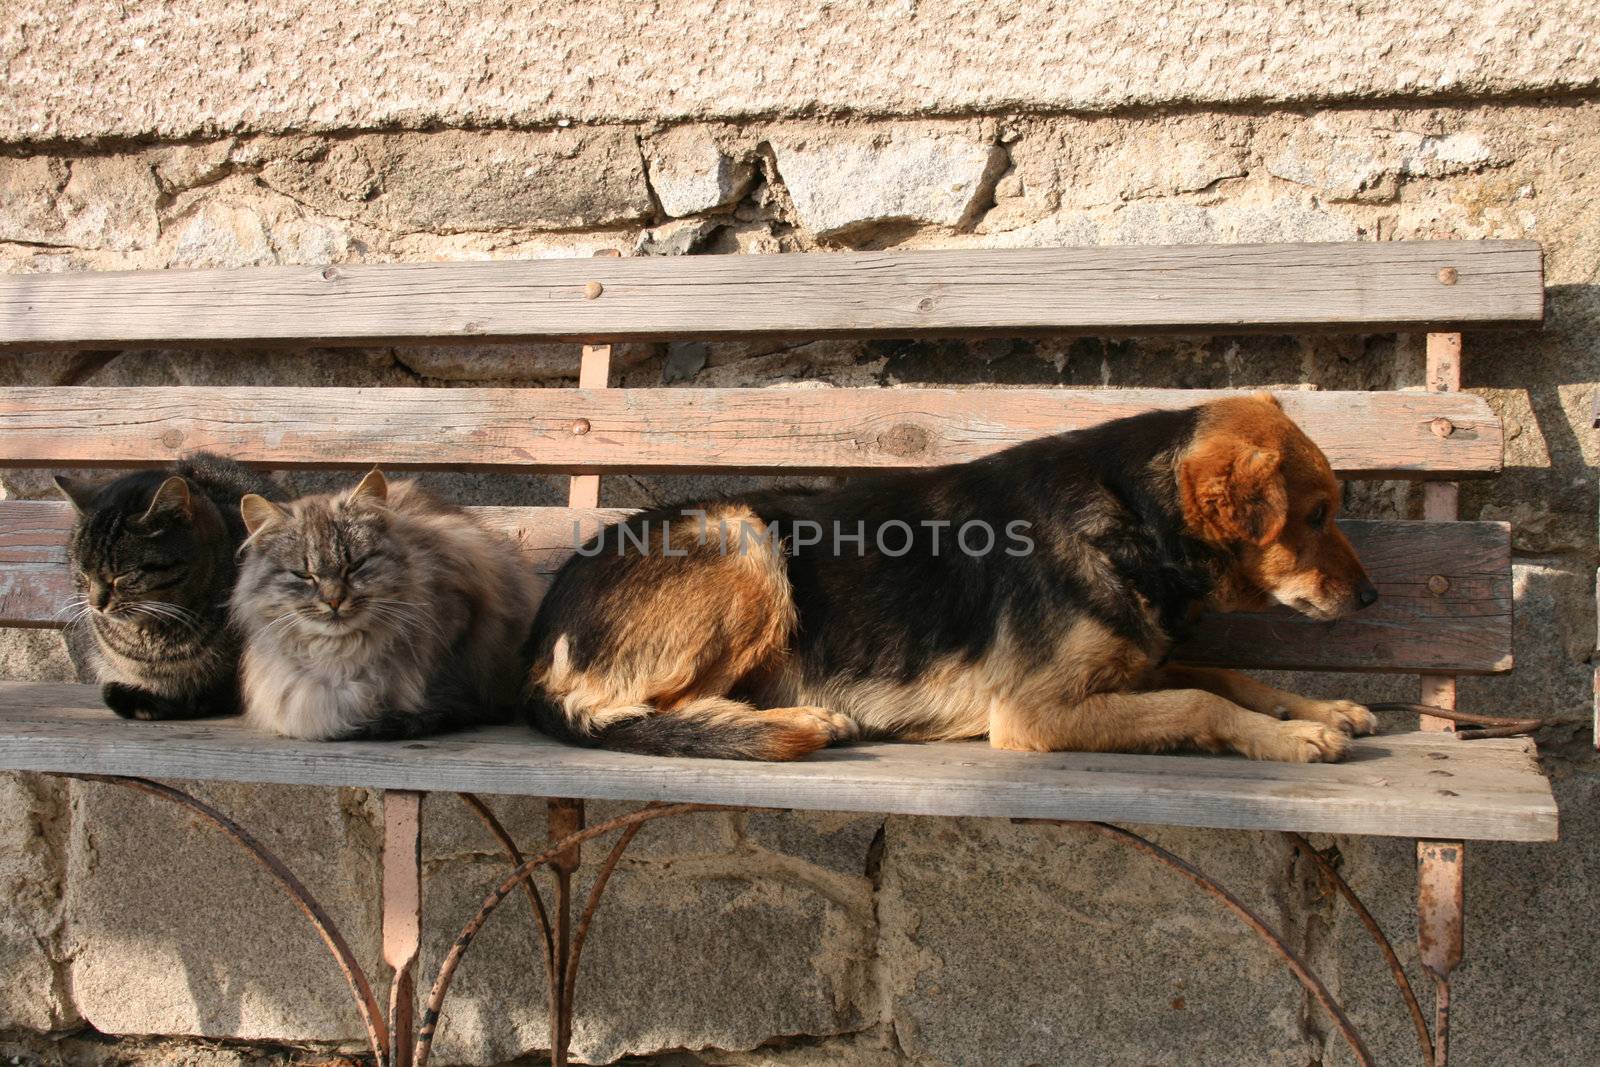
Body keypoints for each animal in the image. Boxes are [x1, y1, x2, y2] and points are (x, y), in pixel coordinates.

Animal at [521, 396, 1376, 764]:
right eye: (1316, 514)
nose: (1371, 600)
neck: (1134, 509)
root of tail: (538, 641)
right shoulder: (1034, 711)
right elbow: (1200, 698)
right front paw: (1291, 737)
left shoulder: (1130, 670)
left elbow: (1226, 675)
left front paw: (1318, 706)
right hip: (744, 539)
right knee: (630, 709)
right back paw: (795, 719)